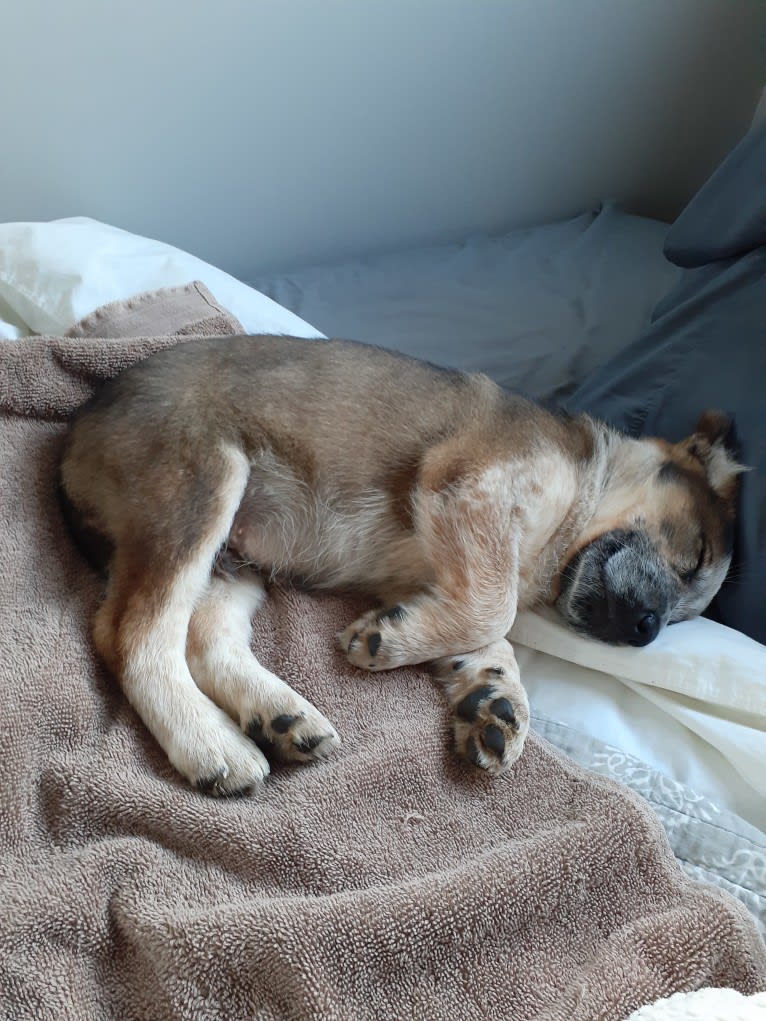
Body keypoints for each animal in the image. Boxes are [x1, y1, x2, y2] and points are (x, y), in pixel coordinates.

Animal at [58, 338, 743, 792]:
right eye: (696, 557)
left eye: (685, 618)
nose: (646, 631)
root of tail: (71, 436)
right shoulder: (471, 487)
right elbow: (496, 609)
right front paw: (391, 646)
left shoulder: (441, 570)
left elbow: (486, 637)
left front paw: (497, 702)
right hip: (201, 488)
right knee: (131, 635)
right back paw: (208, 745)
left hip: (233, 560)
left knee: (201, 639)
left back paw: (278, 716)